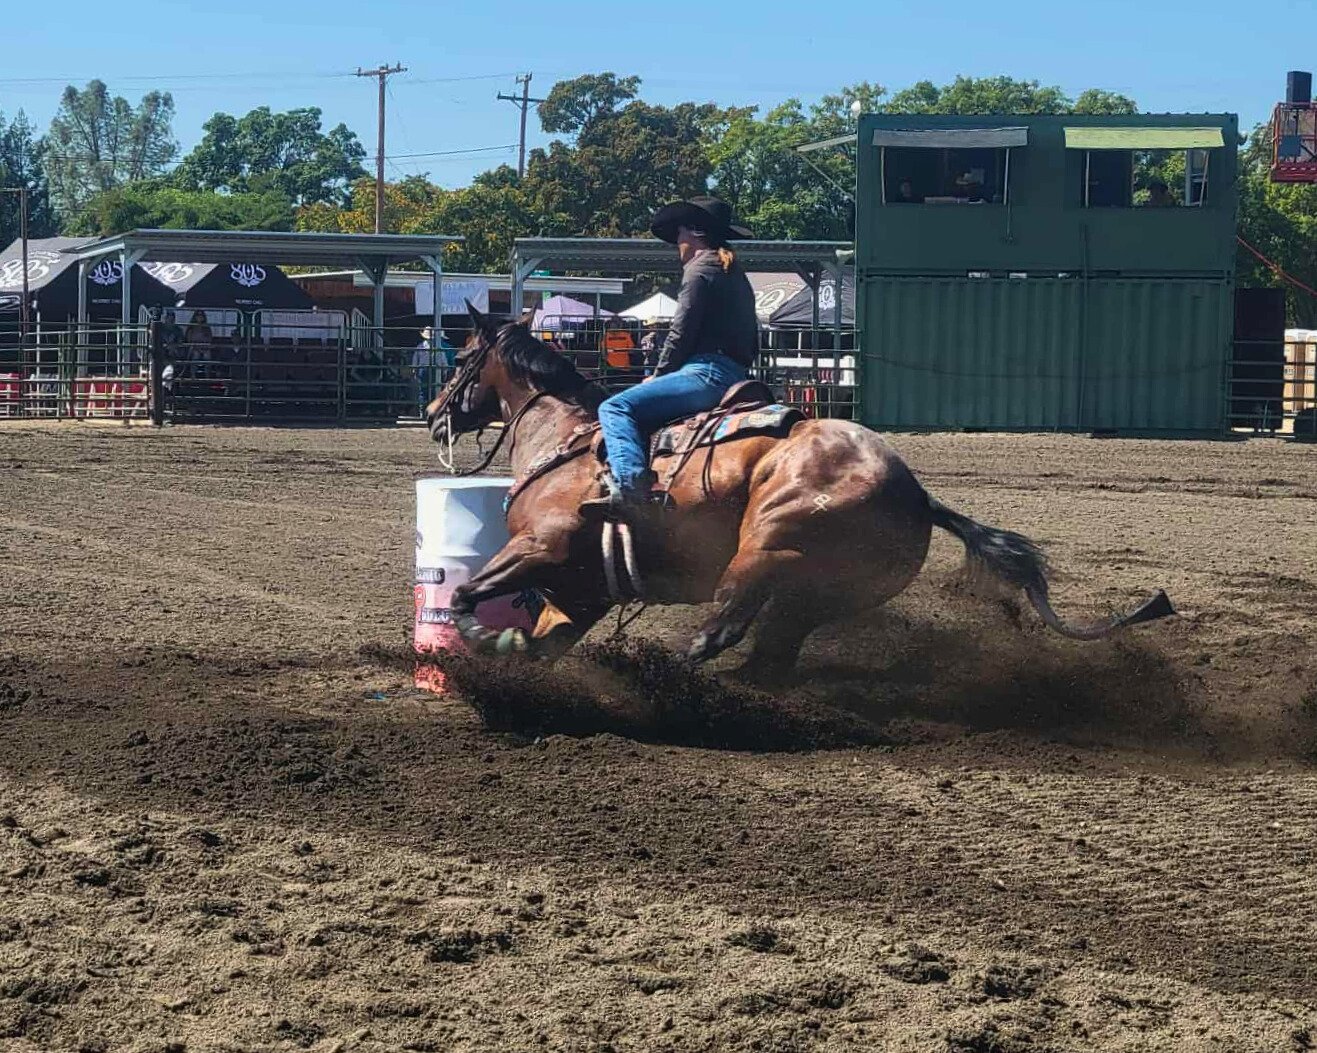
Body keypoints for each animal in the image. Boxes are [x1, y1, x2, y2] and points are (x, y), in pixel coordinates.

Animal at [424, 305, 1173, 679]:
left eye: (459, 357)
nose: (432, 413)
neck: (569, 441)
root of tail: (916, 495)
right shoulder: (581, 591)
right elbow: (540, 642)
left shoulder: (541, 547)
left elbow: (464, 595)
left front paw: (478, 638)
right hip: (825, 593)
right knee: (771, 654)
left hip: (764, 551)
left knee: (724, 630)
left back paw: (675, 675)